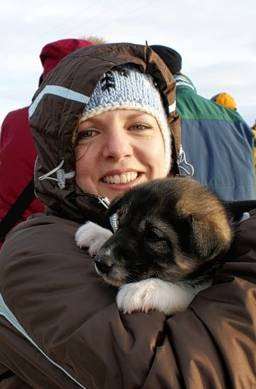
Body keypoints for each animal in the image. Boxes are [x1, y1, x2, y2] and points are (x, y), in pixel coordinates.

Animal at [76, 177, 232, 314]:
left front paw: (143, 288)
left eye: (153, 235)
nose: (100, 263)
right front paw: (96, 232)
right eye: (119, 223)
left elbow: (192, 288)